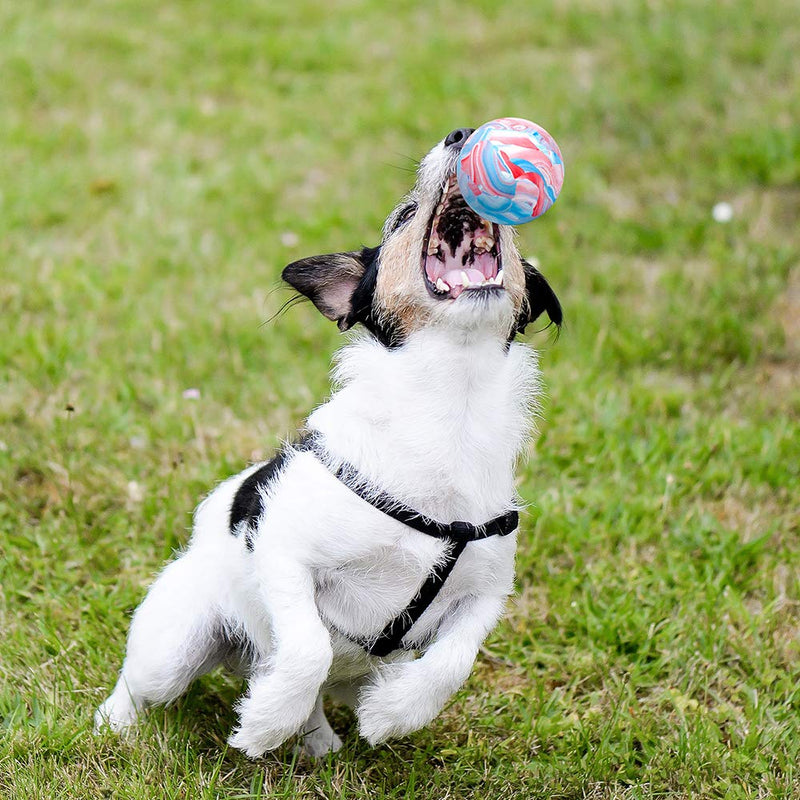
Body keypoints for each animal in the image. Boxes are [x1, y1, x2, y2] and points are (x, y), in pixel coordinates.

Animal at [95, 125, 564, 756]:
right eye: (404, 216)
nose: (463, 133)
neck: (452, 405)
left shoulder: (485, 595)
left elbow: (451, 663)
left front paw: (392, 714)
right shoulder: (285, 555)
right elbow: (307, 646)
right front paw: (264, 721)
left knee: (326, 691)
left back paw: (320, 740)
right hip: (172, 645)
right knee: (142, 681)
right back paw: (119, 724)